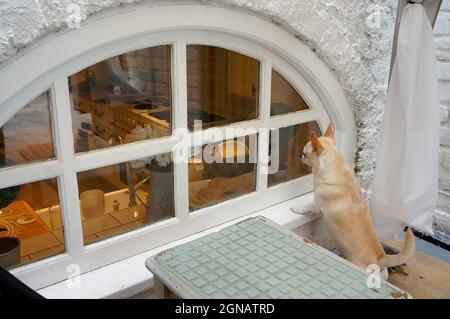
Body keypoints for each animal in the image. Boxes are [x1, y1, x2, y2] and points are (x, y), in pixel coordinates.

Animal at [292, 124, 414, 278]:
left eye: (304, 153)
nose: (299, 156)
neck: (337, 169)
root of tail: (380, 258)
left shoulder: (317, 204)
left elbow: (307, 208)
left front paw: (295, 208)